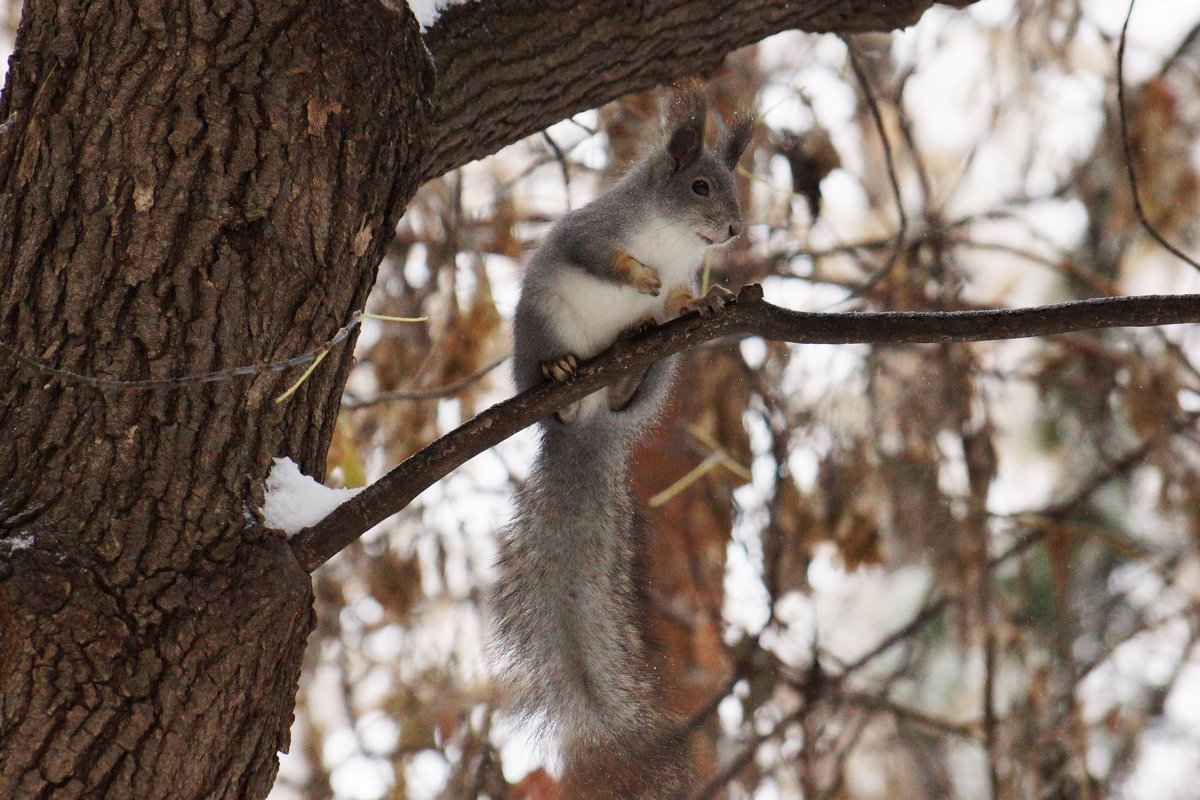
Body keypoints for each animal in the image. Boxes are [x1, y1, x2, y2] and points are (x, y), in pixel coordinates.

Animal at [487, 82, 748, 800]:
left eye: (732, 186)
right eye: (699, 186)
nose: (736, 230)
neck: (671, 238)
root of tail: (592, 422)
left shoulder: (686, 270)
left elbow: (681, 295)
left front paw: (700, 301)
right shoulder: (591, 234)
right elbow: (604, 259)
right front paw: (639, 278)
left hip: (659, 369)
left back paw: (629, 360)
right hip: (543, 323)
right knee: (555, 368)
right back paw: (559, 374)